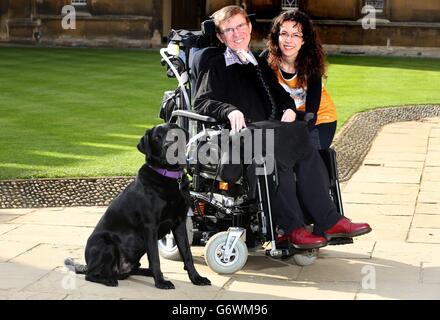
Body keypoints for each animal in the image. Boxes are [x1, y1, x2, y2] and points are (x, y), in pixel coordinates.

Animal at [64, 123, 211, 290]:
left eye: (174, 134)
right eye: (156, 138)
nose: (169, 146)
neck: (169, 176)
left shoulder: (179, 223)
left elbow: (187, 255)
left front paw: (196, 278)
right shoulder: (150, 227)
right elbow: (155, 258)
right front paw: (160, 283)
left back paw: (147, 273)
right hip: (106, 244)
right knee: (91, 275)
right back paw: (109, 280)